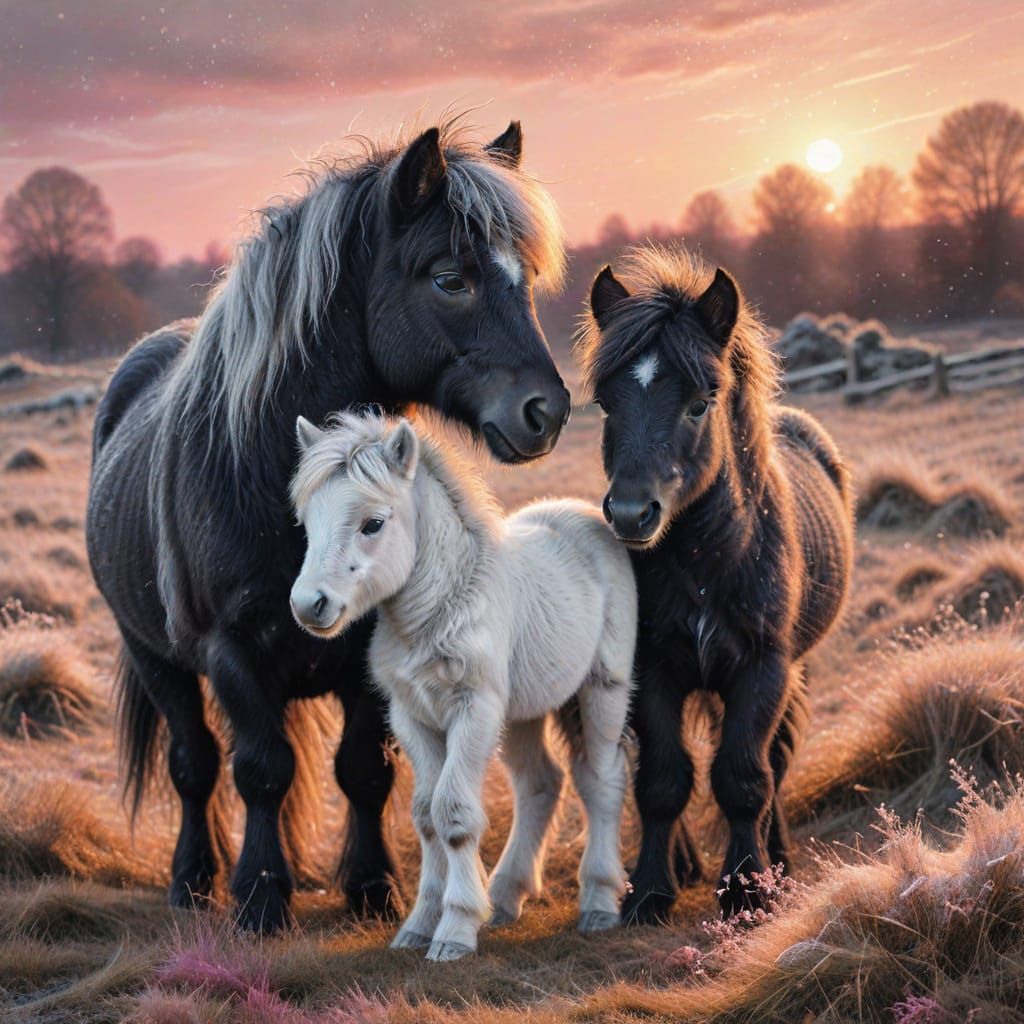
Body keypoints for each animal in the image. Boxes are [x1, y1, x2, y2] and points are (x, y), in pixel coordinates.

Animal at [85, 118, 571, 933]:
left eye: (525, 280)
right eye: (451, 277)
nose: (547, 412)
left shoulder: (370, 656)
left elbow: (364, 772)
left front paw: (373, 890)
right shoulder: (230, 651)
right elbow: (259, 771)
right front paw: (259, 900)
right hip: (156, 659)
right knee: (194, 768)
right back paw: (192, 883)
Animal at [288, 411, 637, 960]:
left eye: (373, 523)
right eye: (306, 523)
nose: (309, 605)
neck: (440, 608)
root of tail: (586, 514)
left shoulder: (474, 712)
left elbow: (453, 814)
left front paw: (454, 931)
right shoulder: (411, 716)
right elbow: (426, 816)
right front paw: (418, 927)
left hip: (603, 689)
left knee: (601, 779)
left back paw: (599, 903)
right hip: (522, 713)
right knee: (541, 784)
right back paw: (506, 897)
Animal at [578, 246, 854, 923]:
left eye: (701, 401)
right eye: (606, 404)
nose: (631, 515)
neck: (708, 562)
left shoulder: (762, 668)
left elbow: (744, 778)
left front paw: (748, 889)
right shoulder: (653, 670)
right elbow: (662, 781)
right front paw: (651, 891)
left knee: (774, 761)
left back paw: (777, 860)